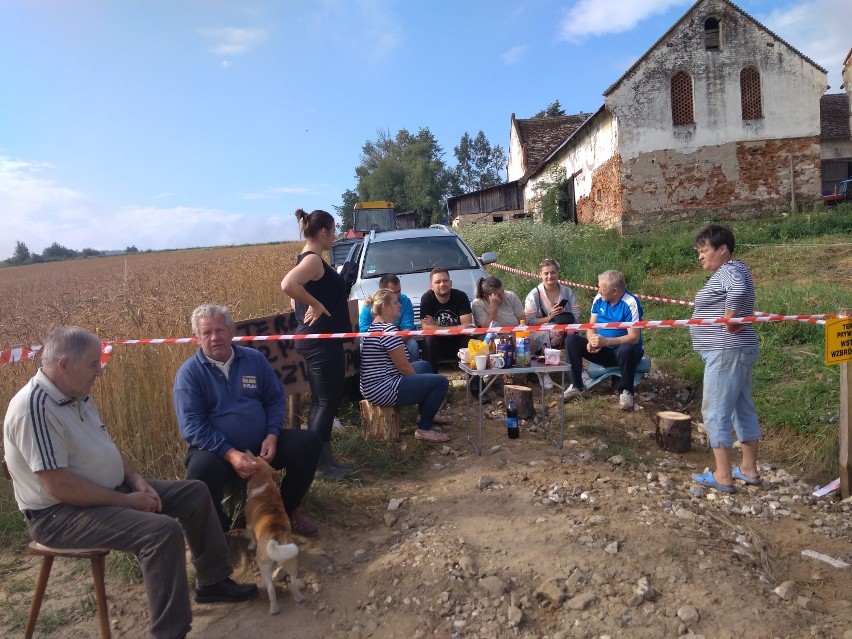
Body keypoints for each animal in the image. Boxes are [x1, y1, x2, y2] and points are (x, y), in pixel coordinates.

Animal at [243, 450, 302, 616]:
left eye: (255, 457)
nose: (247, 450)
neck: (264, 485)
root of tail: (275, 536)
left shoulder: (249, 525)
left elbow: (251, 537)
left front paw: (250, 545)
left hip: (264, 567)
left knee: (270, 589)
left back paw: (274, 609)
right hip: (291, 560)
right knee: (292, 581)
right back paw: (298, 598)